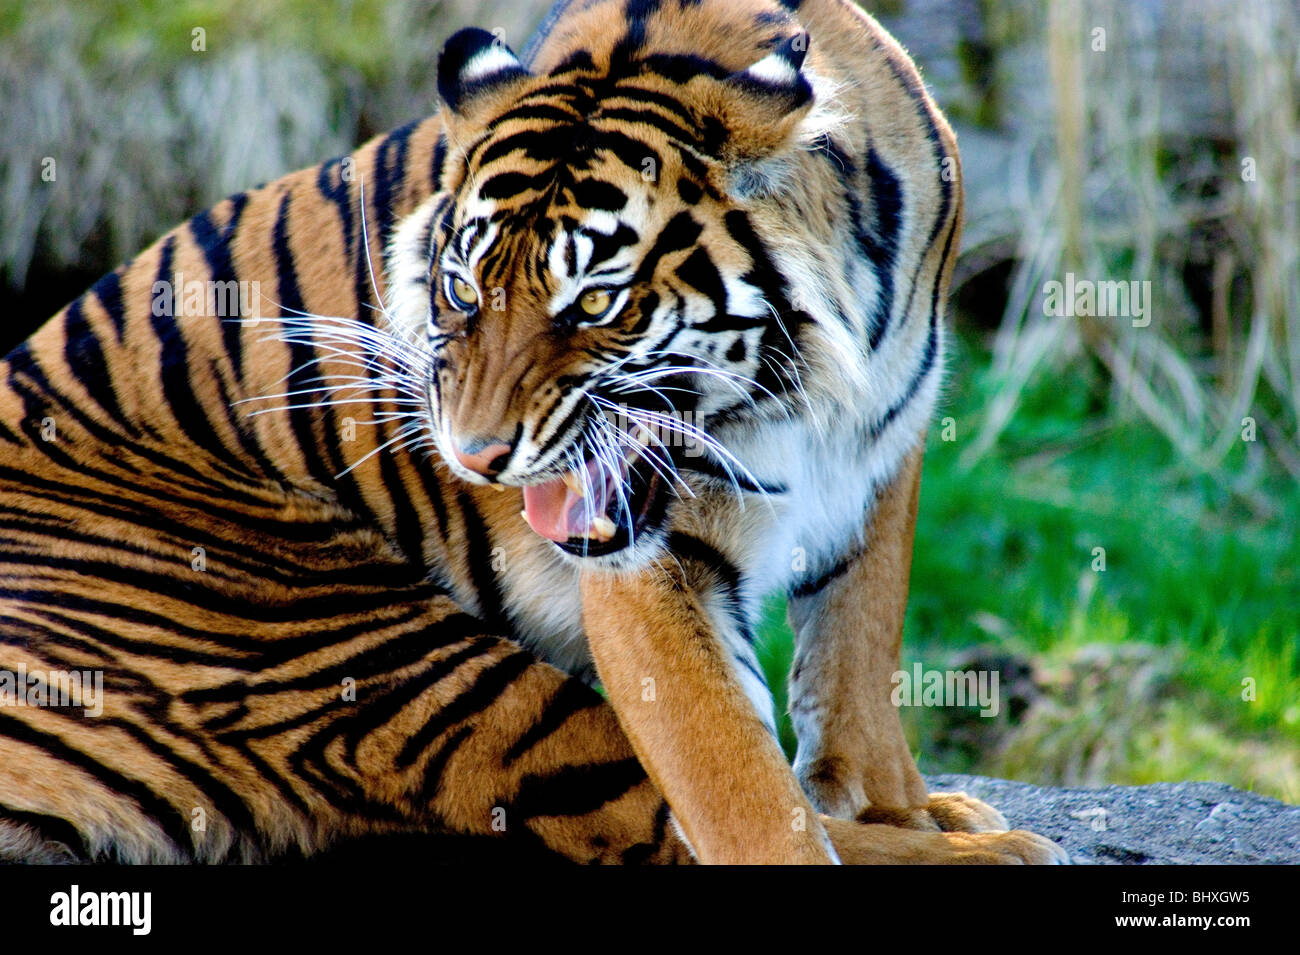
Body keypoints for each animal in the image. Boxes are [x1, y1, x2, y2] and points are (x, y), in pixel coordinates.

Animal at [0, 0, 1066, 867]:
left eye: (594, 302)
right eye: (463, 291)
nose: (473, 459)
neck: (803, 396)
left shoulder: (887, 441)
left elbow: (859, 644)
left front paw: (896, 801)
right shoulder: (651, 567)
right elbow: (739, 790)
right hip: (365, 644)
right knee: (637, 821)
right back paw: (999, 847)